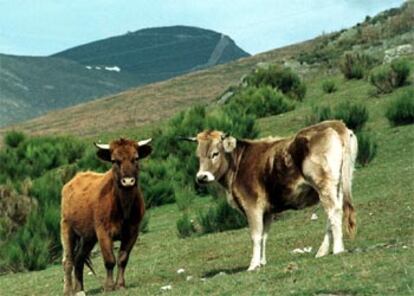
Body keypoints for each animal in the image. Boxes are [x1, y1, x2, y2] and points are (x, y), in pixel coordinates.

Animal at [59, 138, 152, 294]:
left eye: (136, 158)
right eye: (114, 160)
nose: (128, 181)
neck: (123, 207)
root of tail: (73, 180)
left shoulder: (132, 232)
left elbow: (122, 259)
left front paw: (120, 284)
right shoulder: (103, 231)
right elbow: (109, 260)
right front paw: (109, 286)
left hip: (88, 236)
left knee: (79, 258)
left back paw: (79, 289)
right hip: (67, 228)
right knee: (68, 260)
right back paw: (68, 291)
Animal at [184, 119, 356, 270]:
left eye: (215, 153)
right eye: (198, 156)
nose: (201, 177)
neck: (238, 163)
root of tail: (335, 124)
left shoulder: (252, 206)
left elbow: (255, 235)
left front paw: (253, 265)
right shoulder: (267, 211)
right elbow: (263, 236)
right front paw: (262, 262)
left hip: (324, 185)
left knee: (334, 212)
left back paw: (338, 249)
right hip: (338, 186)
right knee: (332, 215)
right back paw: (323, 251)